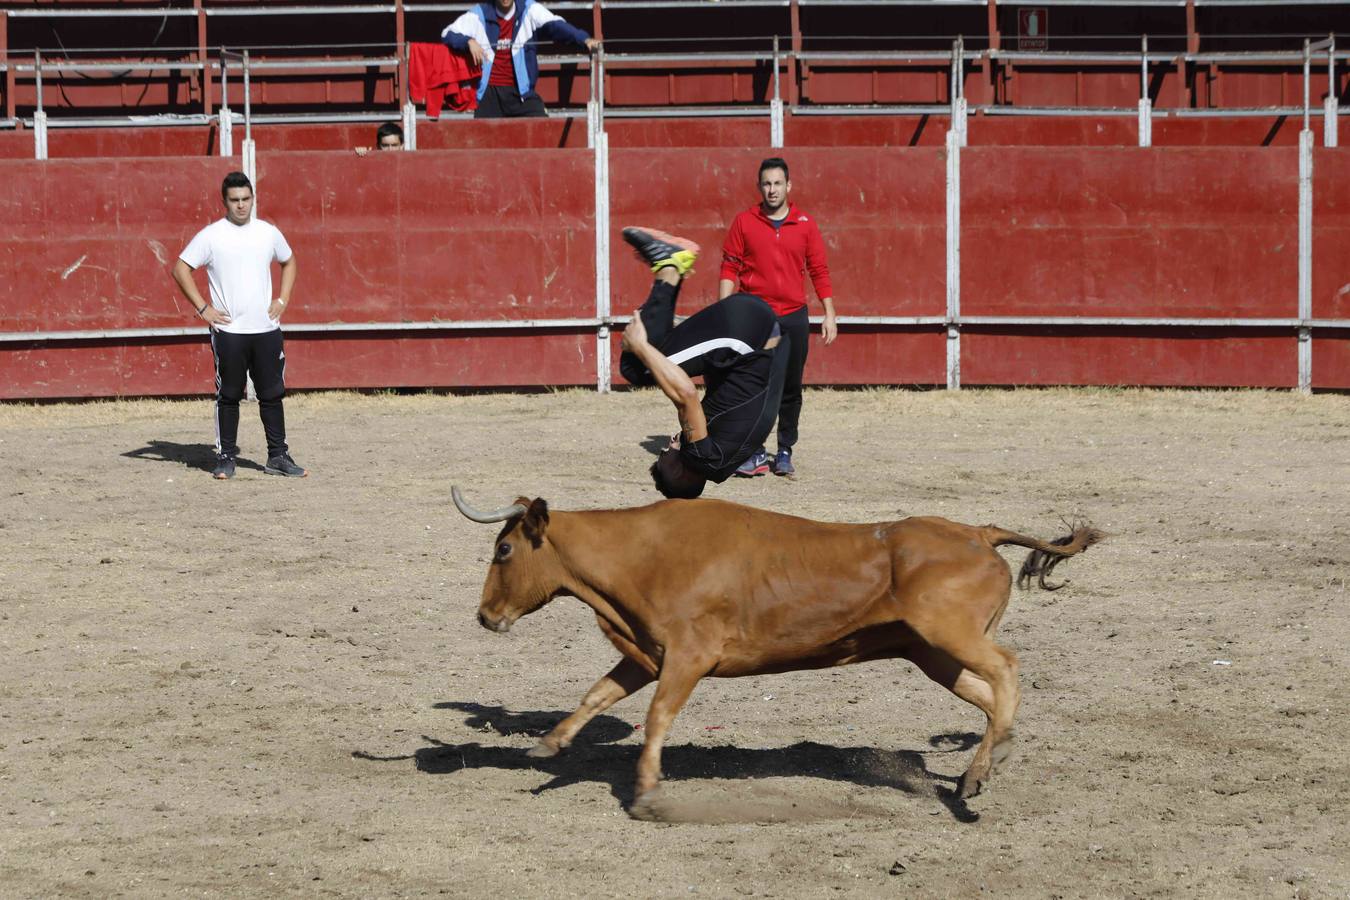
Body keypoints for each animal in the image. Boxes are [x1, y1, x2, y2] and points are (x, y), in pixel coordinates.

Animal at [448, 488, 1101, 814]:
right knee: (987, 696)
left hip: (951, 635)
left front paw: (648, 792)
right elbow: (597, 694)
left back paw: (988, 766)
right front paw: (549, 743)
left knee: (1007, 670)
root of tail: (977, 533)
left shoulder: (687, 658)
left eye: (504, 549)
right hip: (931, 653)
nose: (484, 616)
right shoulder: (645, 654)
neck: (639, 551)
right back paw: (974, 775)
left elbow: (657, 717)